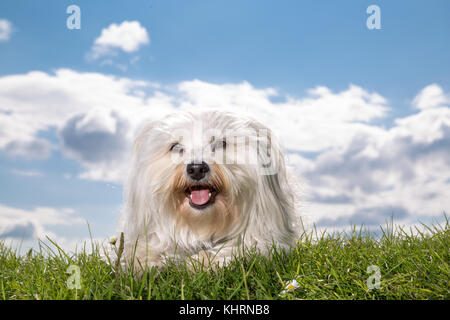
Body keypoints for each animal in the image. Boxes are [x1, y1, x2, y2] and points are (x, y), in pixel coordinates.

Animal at [118, 110, 302, 270]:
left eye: (221, 143)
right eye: (175, 146)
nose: (196, 169)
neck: (202, 224)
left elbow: (240, 246)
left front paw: (203, 262)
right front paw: (147, 262)